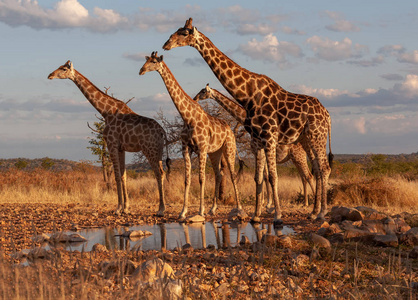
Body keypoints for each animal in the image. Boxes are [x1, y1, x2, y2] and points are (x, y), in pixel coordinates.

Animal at [46, 59, 170, 217]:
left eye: (63, 69)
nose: (50, 75)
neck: (105, 111)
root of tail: (162, 131)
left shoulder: (111, 143)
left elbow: (116, 176)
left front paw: (118, 208)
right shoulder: (121, 147)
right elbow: (123, 176)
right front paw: (126, 207)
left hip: (149, 149)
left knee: (159, 173)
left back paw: (161, 209)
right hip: (158, 150)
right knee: (162, 172)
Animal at [138, 51, 242, 220]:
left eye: (153, 61)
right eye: (146, 60)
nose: (141, 70)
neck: (188, 118)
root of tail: (230, 129)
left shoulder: (201, 148)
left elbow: (201, 178)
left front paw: (200, 211)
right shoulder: (186, 148)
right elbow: (187, 180)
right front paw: (183, 212)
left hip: (229, 148)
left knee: (232, 174)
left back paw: (238, 208)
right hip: (215, 152)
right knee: (218, 175)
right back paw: (213, 209)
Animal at [192, 84, 314, 216]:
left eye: (203, 91)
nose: (194, 98)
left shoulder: (258, 150)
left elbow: (265, 177)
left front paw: (267, 205)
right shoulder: (259, 152)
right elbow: (263, 177)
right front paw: (266, 204)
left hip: (298, 156)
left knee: (309, 176)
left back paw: (312, 204)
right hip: (295, 158)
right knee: (304, 177)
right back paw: (306, 203)